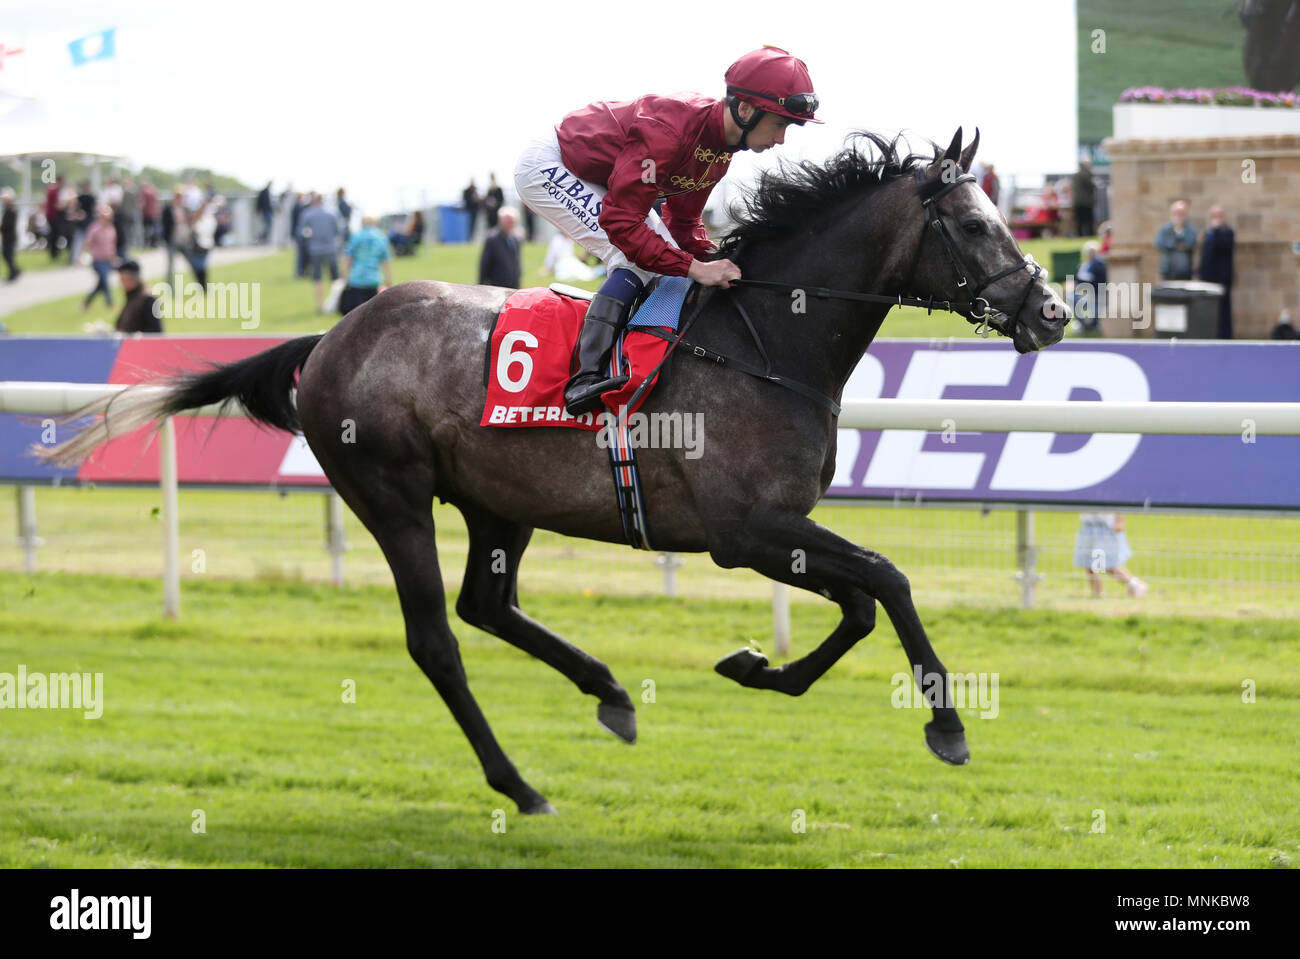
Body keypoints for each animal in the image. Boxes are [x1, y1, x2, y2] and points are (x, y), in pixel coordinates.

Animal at [43, 128, 1066, 816]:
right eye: (973, 223)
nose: (1053, 311)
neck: (766, 341)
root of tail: (332, 335)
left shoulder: (772, 533)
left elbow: (857, 604)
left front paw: (755, 667)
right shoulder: (745, 532)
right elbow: (888, 581)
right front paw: (947, 724)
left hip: (500, 501)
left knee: (485, 606)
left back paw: (608, 692)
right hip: (392, 495)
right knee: (436, 639)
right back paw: (520, 783)